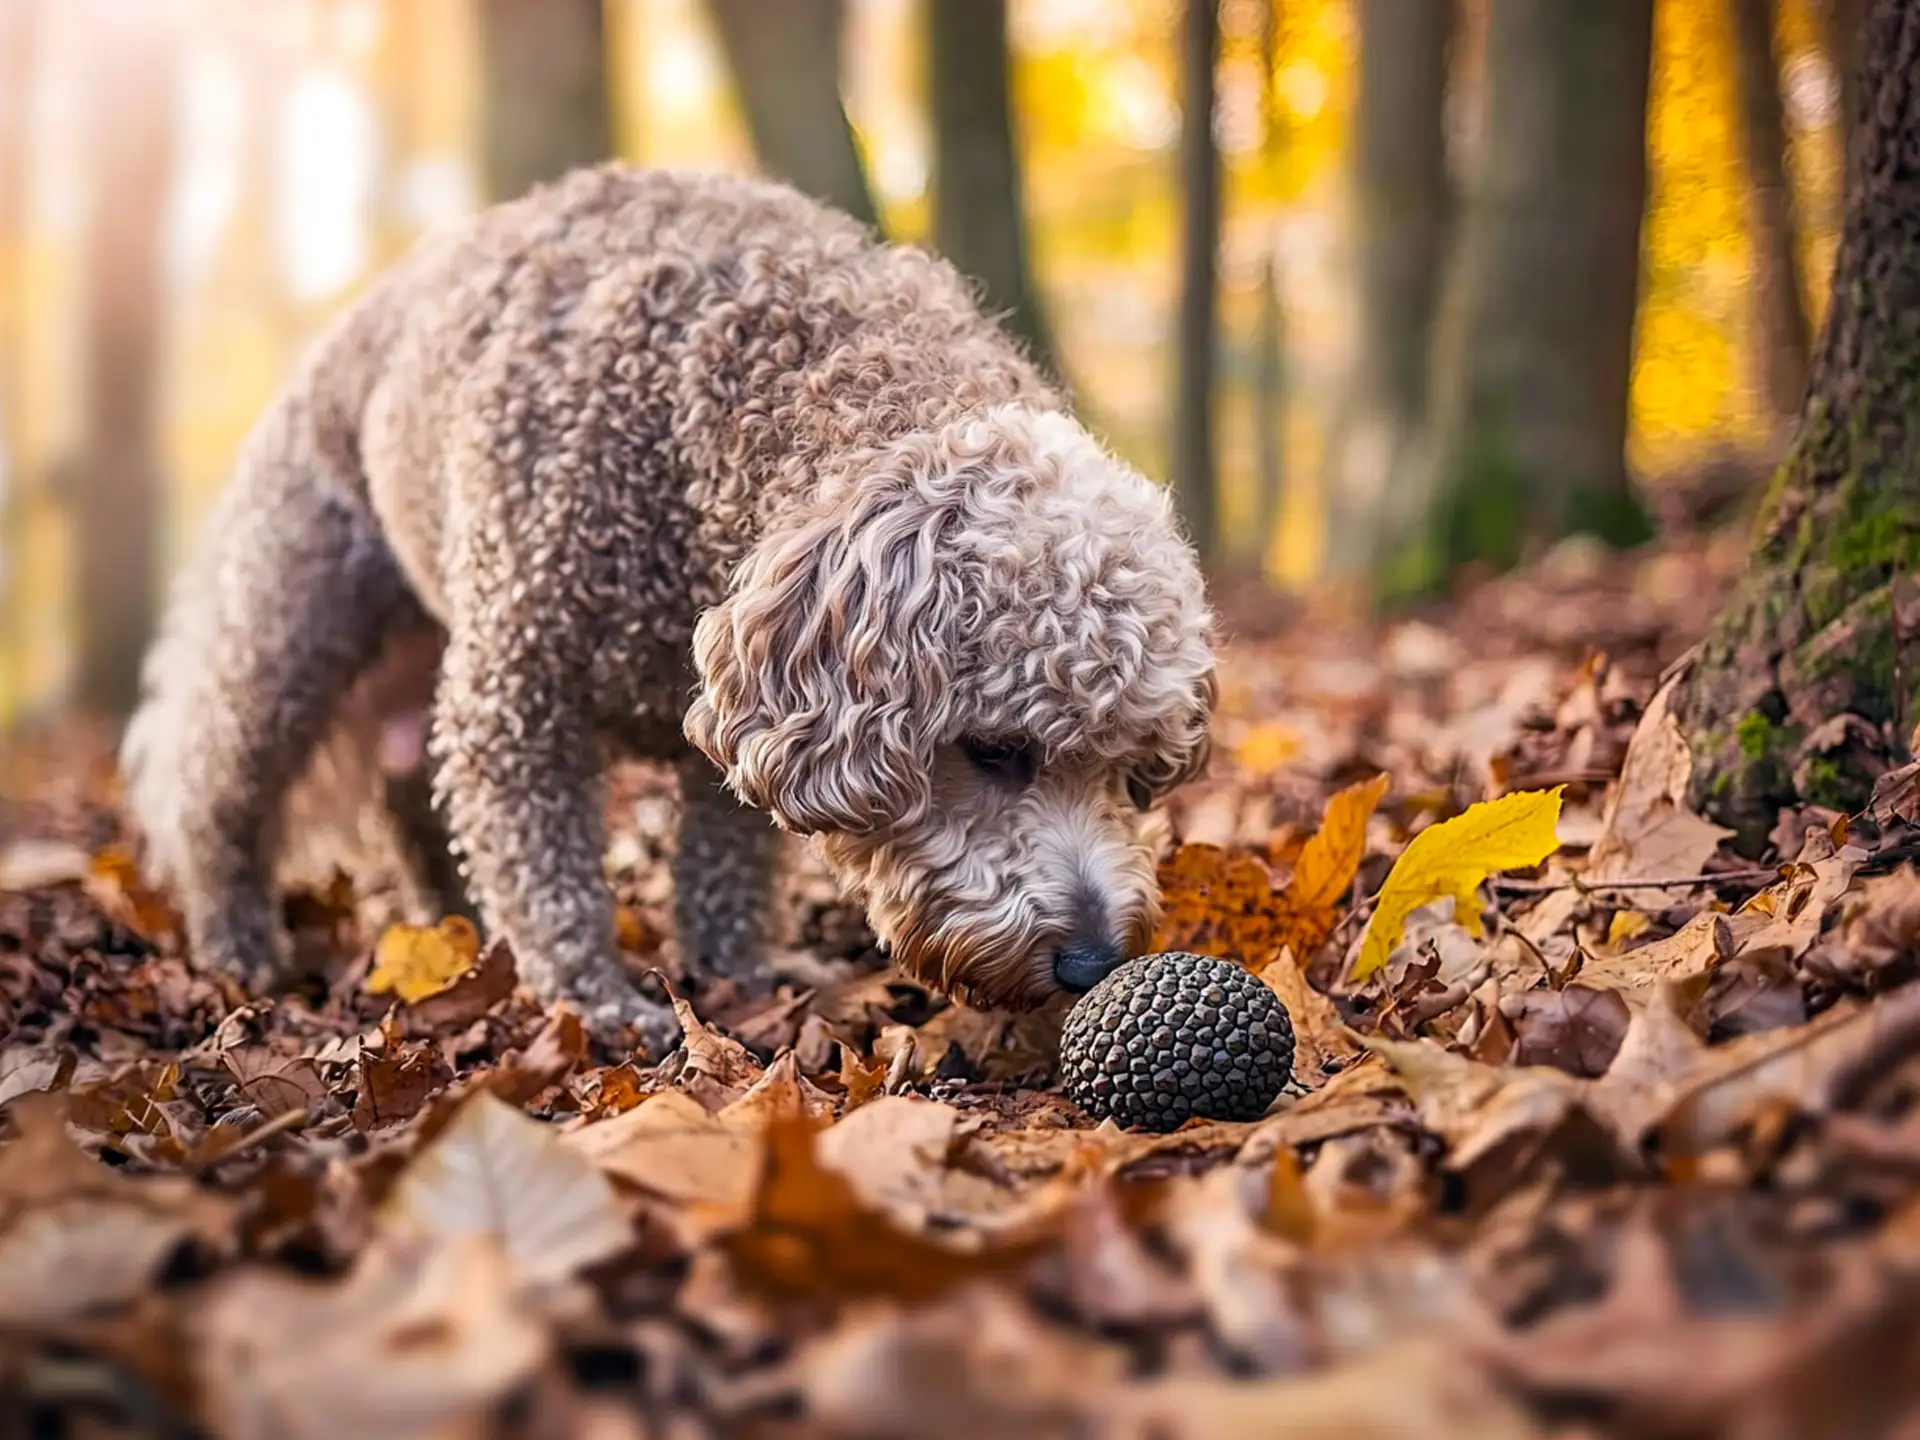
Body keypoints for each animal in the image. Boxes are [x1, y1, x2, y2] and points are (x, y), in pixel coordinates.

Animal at [123, 166, 1213, 1052]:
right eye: (993, 751)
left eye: (1130, 773)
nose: (1094, 962)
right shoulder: (523, 691)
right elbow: (551, 871)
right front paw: (596, 1003)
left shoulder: (728, 734)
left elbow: (721, 871)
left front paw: (736, 982)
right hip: (289, 622)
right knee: (216, 790)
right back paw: (238, 942)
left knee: (410, 798)